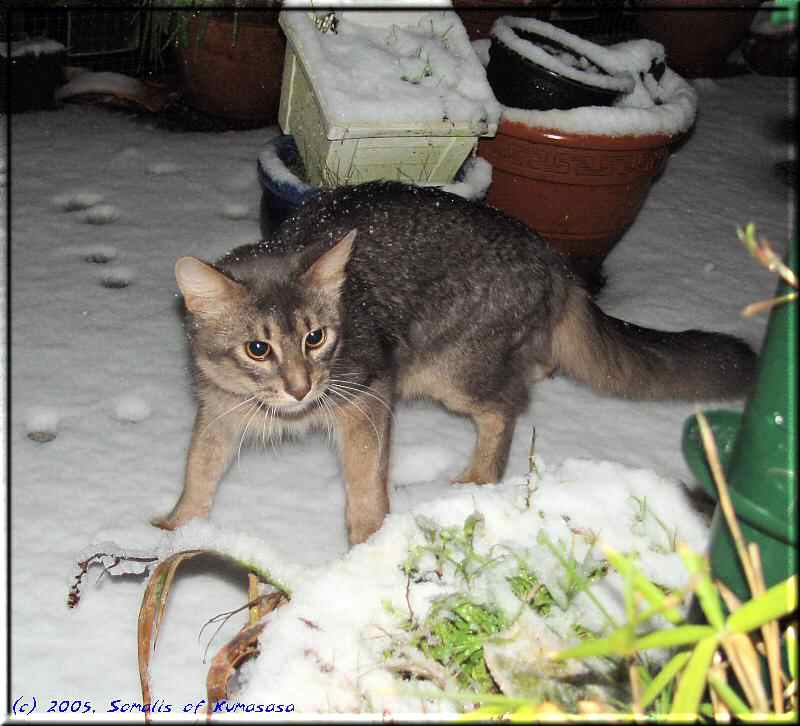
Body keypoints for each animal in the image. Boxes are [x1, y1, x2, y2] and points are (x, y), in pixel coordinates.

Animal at [153, 181, 760, 544]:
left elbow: (366, 486)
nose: (302, 389)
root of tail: (554, 259)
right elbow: (198, 468)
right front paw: (179, 530)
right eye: (258, 349)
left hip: (449, 372)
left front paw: (365, 547)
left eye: (316, 338)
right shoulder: (218, 410)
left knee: (507, 406)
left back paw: (480, 477)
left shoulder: (370, 396)